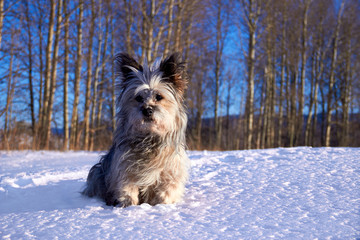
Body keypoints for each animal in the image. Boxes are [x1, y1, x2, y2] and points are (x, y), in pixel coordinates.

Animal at [81, 52, 188, 206]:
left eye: (159, 96)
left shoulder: (171, 171)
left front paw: (161, 205)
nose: (147, 110)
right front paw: (128, 206)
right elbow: (127, 190)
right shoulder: (124, 170)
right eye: (138, 97)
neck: (149, 138)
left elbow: (167, 190)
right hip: (98, 172)